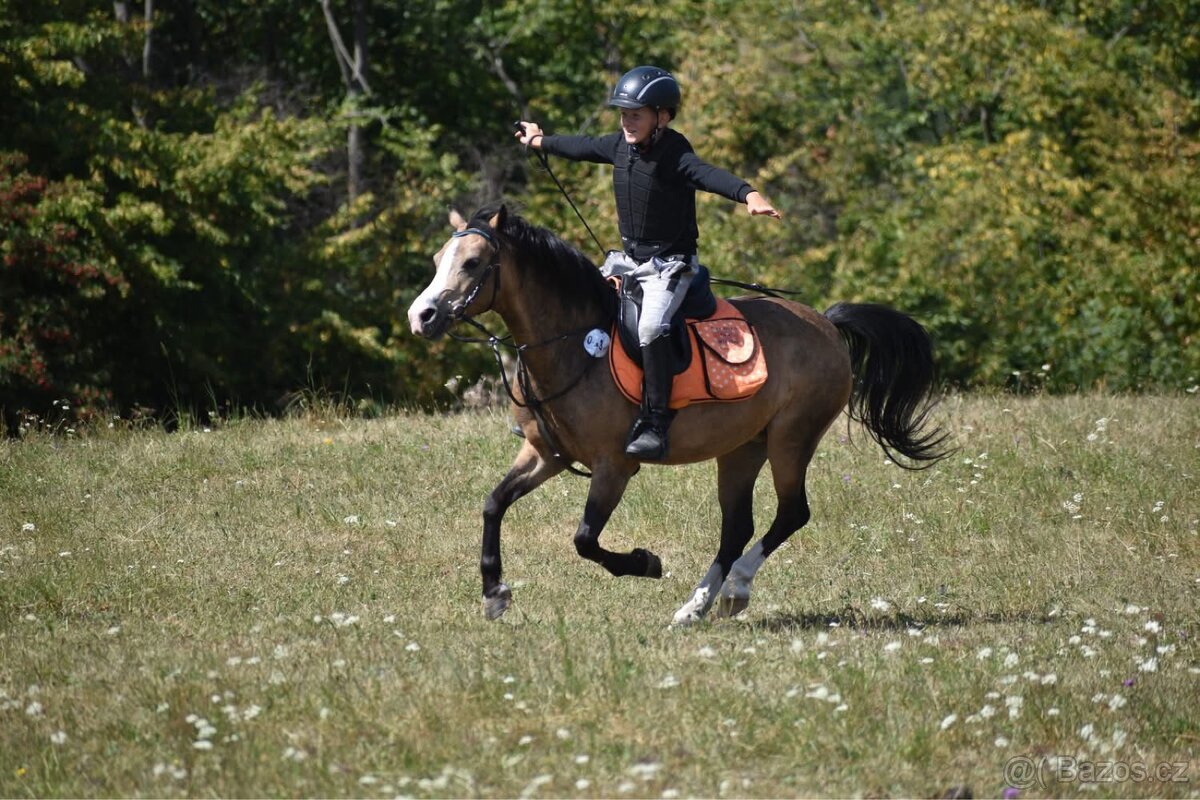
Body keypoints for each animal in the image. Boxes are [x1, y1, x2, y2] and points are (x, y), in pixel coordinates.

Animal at [407, 203, 949, 624]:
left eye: (473, 262)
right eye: (436, 260)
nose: (421, 316)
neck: (572, 344)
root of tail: (828, 324)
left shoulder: (613, 466)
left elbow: (585, 539)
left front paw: (645, 562)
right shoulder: (546, 454)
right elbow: (493, 504)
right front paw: (494, 593)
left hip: (791, 438)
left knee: (791, 513)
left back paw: (735, 590)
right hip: (742, 449)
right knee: (737, 528)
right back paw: (697, 606)